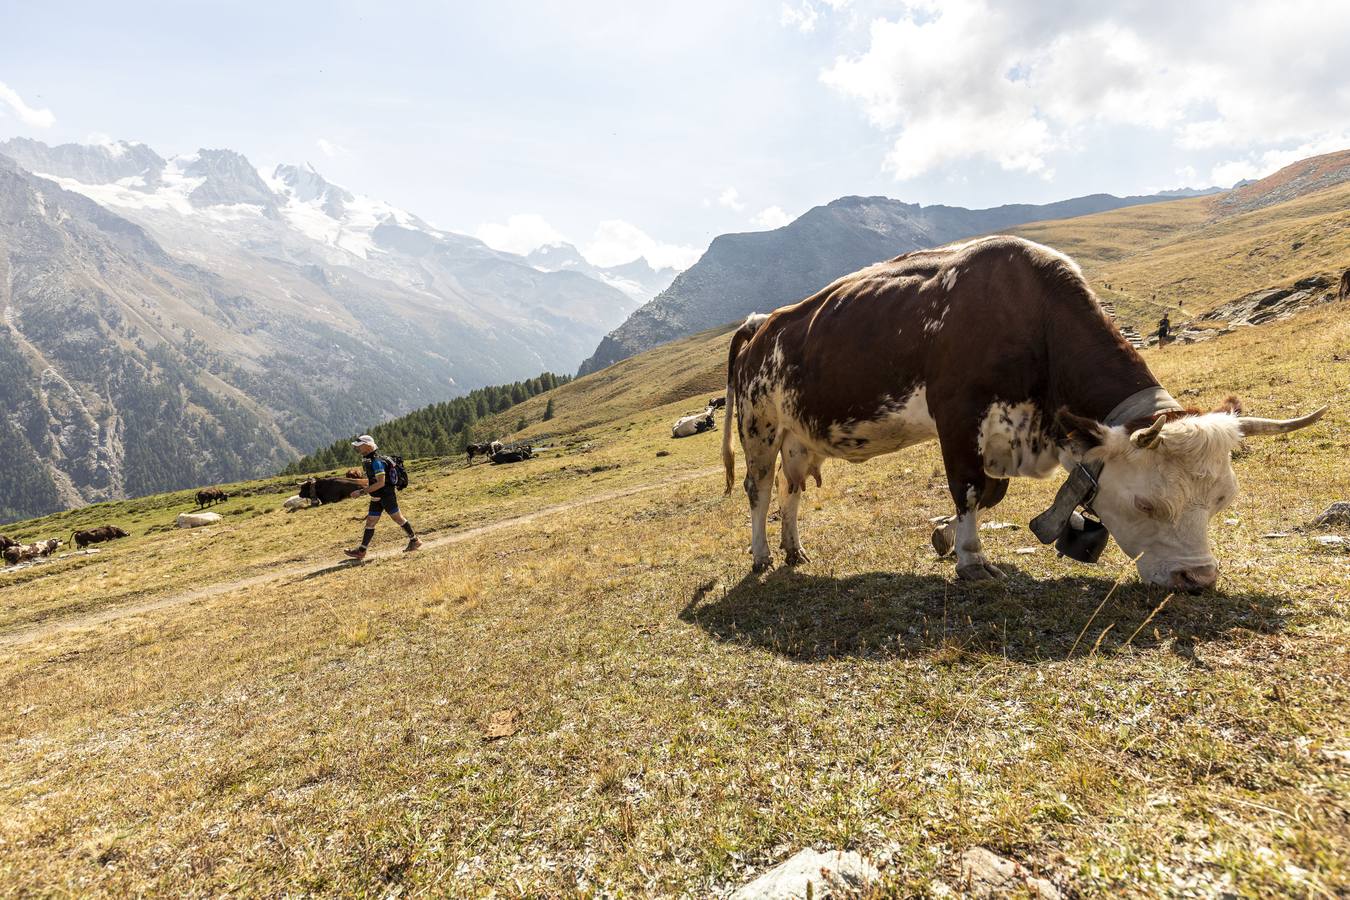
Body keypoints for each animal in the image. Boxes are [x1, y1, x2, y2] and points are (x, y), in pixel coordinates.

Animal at [723, 234, 1323, 591]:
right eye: (1147, 503)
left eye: (1223, 499)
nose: (1197, 578)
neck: (1036, 319)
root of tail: (758, 324)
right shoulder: (956, 415)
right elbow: (968, 489)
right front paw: (971, 559)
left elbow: (991, 494)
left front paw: (946, 538)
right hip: (759, 426)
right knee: (758, 490)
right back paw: (761, 555)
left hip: (798, 437)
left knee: (791, 490)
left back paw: (794, 549)